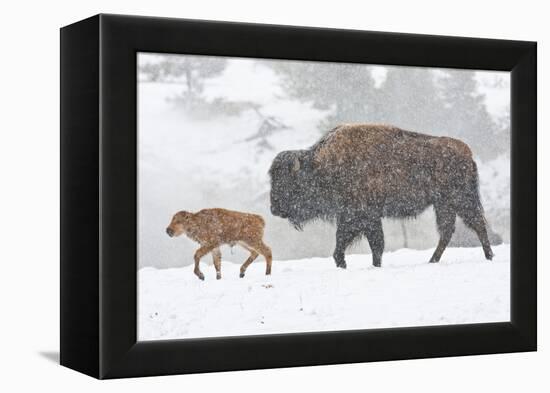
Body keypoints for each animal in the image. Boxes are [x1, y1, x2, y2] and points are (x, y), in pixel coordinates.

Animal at [270, 124, 496, 268]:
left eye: (287, 182)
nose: (274, 209)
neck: (322, 166)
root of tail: (467, 153)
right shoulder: (359, 217)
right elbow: (368, 244)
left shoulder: (360, 216)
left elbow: (368, 244)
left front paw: (352, 264)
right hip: (444, 204)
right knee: (449, 230)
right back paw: (433, 260)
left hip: (460, 199)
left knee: (476, 224)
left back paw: (489, 257)